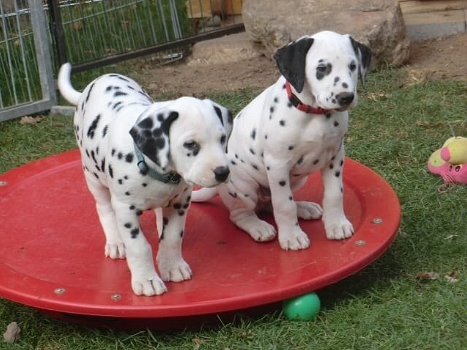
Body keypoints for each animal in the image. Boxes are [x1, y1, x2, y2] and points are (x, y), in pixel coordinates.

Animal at [57, 63, 233, 296]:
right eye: (190, 144)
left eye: (222, 139)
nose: (223, 172)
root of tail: (94, 83)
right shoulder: (125, 209)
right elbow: (139, 246)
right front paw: (147, 279)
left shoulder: (180, 203)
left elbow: (171, 237)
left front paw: (172, 266)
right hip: (92, 176)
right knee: (104, 208)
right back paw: (115, 242)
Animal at [192, 29, 372, 249]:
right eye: (322, 68)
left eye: (353, 66)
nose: (345, 97)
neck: (314, 113)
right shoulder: (278, 165)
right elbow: (284, 205)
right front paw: (292, 236)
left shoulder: (335, 157)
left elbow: (334, 193)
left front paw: (337, 224)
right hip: (244, 187)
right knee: (241, 214)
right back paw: (258, 226)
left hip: (298, 180)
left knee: (270, 204)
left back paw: (304, 208)